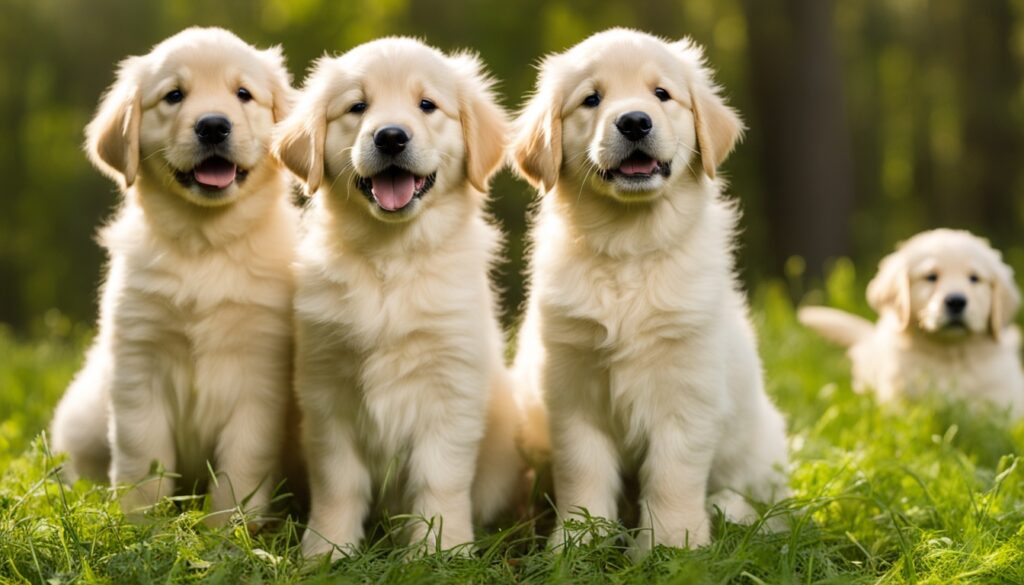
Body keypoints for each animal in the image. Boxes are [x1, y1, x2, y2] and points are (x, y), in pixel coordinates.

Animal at [49, 26, 299, 522]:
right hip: (84, 414)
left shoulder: (260, 375)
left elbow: (241, 466)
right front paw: (139, 525)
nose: (213, 125)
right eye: (174, 96)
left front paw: (230, 529)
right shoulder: (139, 365)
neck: (205, 245)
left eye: (243, 94)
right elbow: (143, 457)